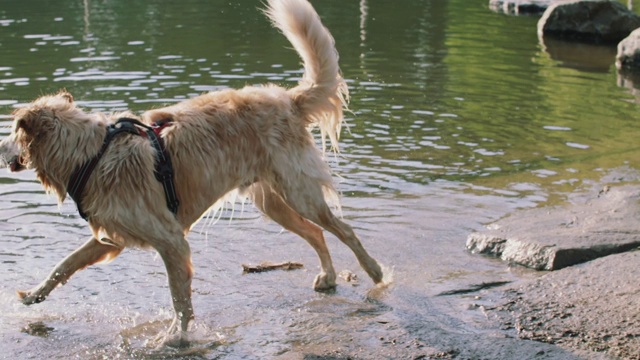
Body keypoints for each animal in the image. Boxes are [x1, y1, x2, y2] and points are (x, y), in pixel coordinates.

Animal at [0, 0, 382, 348]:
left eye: (13, 131)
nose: (0, 147)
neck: (92, 155)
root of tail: (287, 99)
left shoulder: (171, 241)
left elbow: (179, 298)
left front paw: (176, 337)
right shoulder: (110, 237)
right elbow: (64, 264)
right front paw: (33, 294)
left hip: (299, 192)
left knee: (344, 229)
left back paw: (375, 272)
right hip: (274, 202)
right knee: (316, 233)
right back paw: (329, 276)